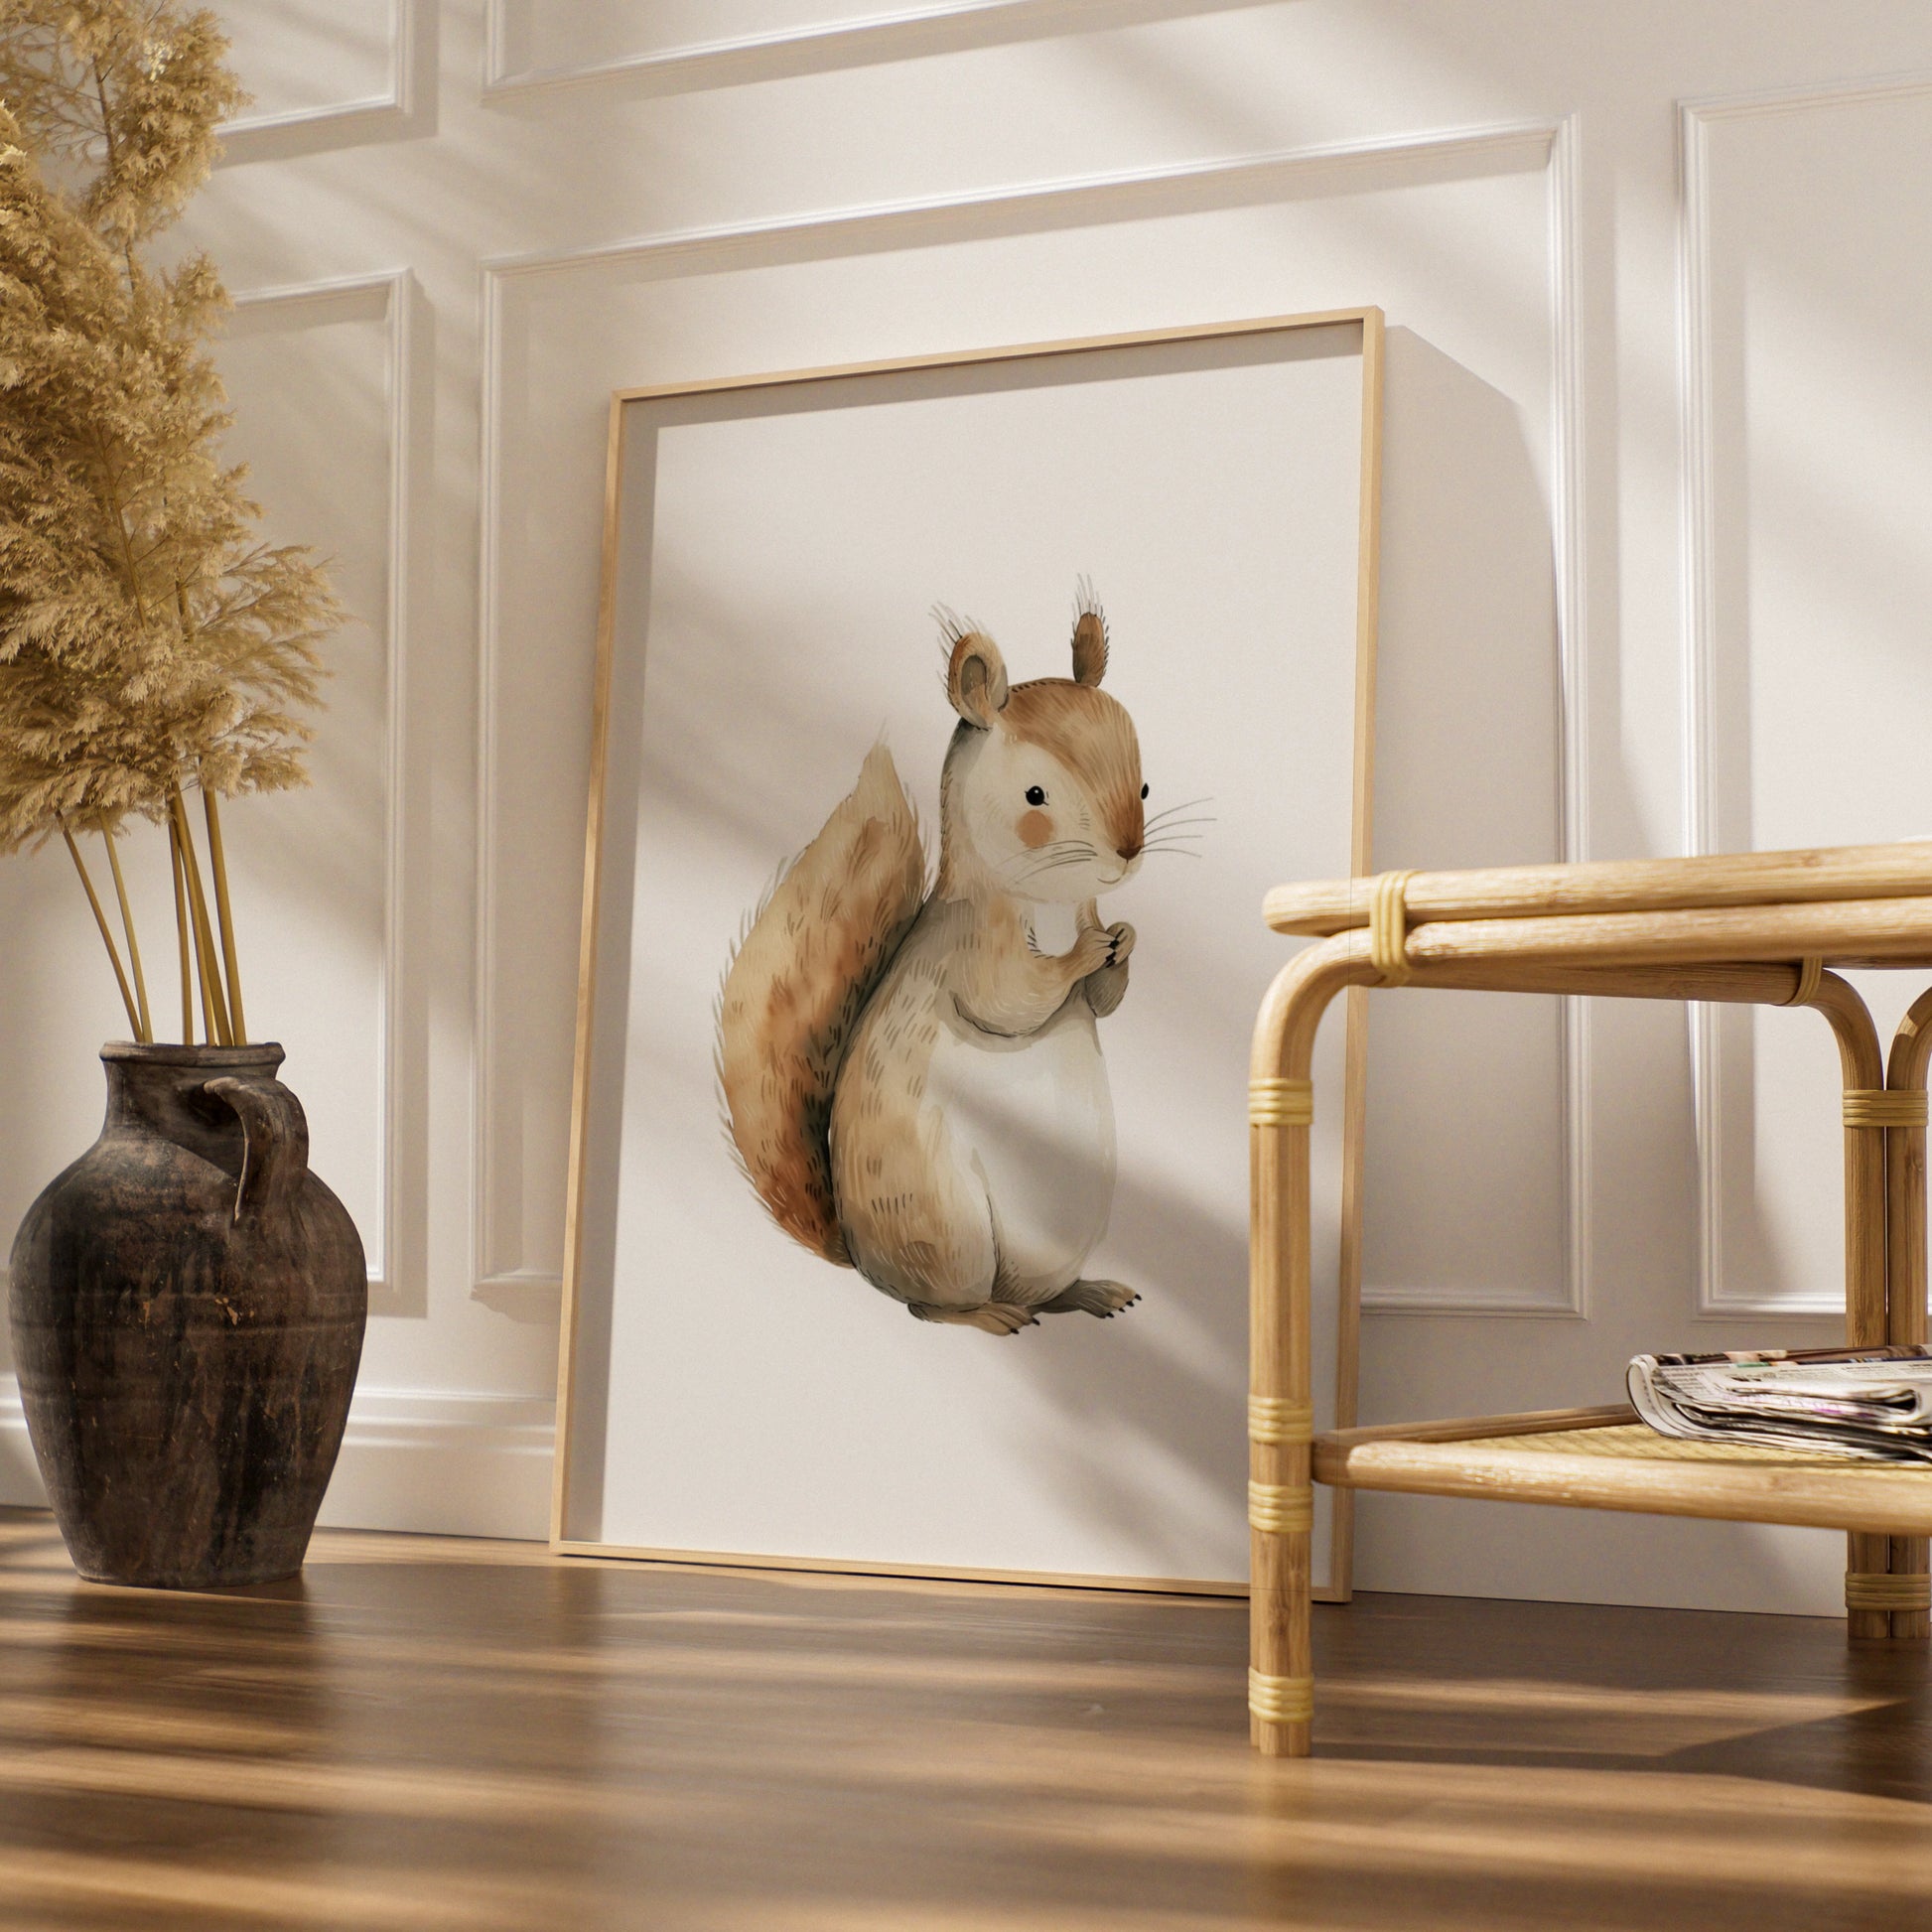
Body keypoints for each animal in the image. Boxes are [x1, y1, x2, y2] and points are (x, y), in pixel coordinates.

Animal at [716, 591, 1148, 1335]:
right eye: (1035, 796)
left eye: (1145, 786)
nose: (1128, 851)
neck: (1053, 904)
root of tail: (861, 1258)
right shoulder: (972, 950)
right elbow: (1013, 996)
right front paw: (1086, 953)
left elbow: (1102, 1001)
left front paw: (1123, 940)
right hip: (947, 1228)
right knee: (930, 1306)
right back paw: (989, 1317)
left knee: (1040, 1293)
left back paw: (1088, 1294)